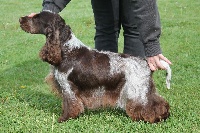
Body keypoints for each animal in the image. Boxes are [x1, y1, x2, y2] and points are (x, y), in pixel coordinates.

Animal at [19, 11, 171, 123]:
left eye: (36, 18)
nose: (20, 19)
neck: (66, 50)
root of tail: (145, 62)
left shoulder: (67, 87)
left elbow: (70, 105)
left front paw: (63, 119)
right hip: (143, 88)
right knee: (158, 101)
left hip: (136, 89)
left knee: (149, 106)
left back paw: (154, 118)